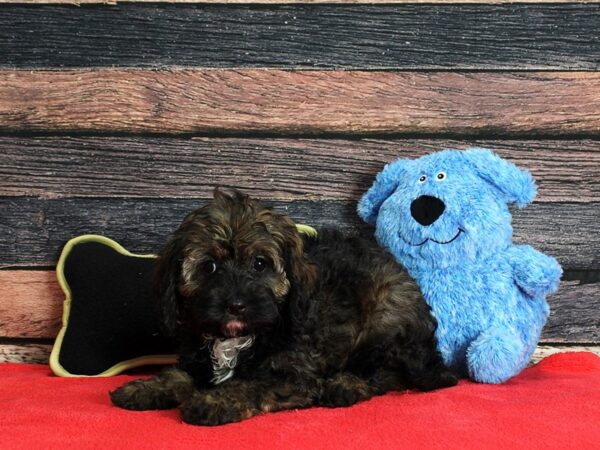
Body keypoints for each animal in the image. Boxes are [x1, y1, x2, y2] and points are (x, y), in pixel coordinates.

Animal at [110, 189, 458, 426]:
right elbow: (177, 374)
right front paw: (144, 388)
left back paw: (343, 386)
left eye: (259, 264)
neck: (237, 338)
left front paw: (213, 401)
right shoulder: (197, 357)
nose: (235, 305)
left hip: (384, 318)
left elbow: (250, 385)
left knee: (383, 374)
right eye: (208, 267)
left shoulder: (292, 373)